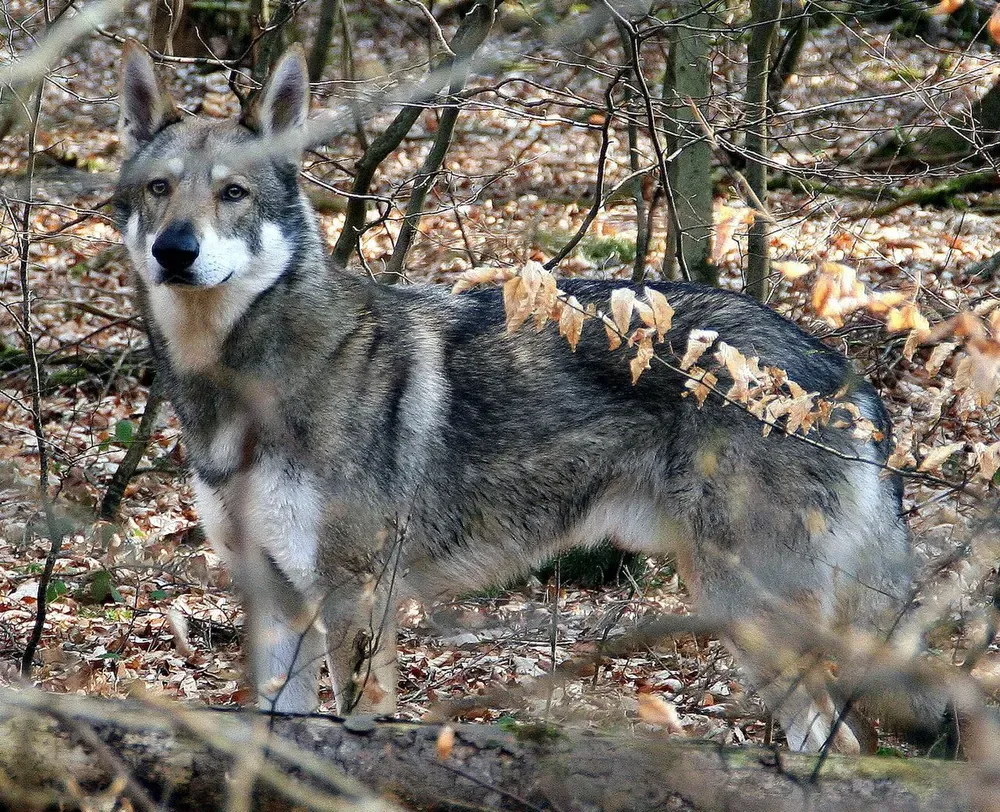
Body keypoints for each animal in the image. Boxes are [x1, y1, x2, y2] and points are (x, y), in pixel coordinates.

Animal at [114, 41, 936, 753]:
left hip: (752, 609)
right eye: (160, 190)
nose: (175, 251)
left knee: (844, 741)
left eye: (234, 192)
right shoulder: (273, 602)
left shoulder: (355, 600)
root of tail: (843, 376)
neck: (241, 386)